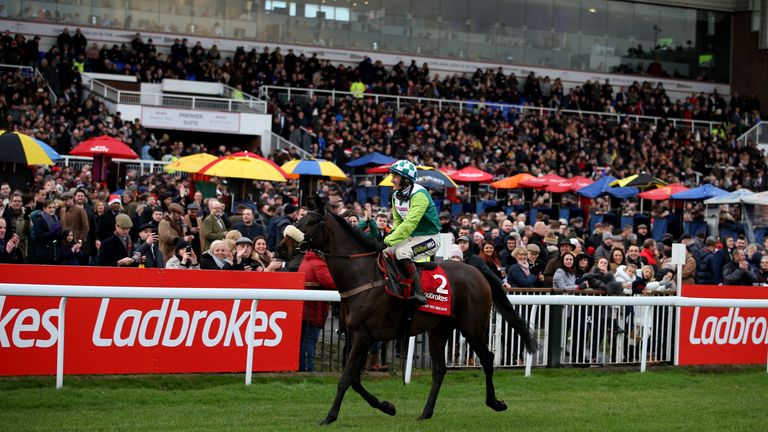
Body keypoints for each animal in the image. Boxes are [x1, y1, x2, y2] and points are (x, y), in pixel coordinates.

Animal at [280, 198, 536, 426]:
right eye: (299, 218)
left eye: (310, 222)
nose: (283, 247)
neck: (362, 275)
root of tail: (478, 272)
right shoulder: (357, 335)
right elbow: (354, 378)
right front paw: (387, 406)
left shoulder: (363, 335)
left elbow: (346, 378)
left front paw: (329, 417)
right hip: (439, 330)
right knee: (439, 370)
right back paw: (426, 413)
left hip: (472, 327)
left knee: (487, 358)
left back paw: (495, 402)